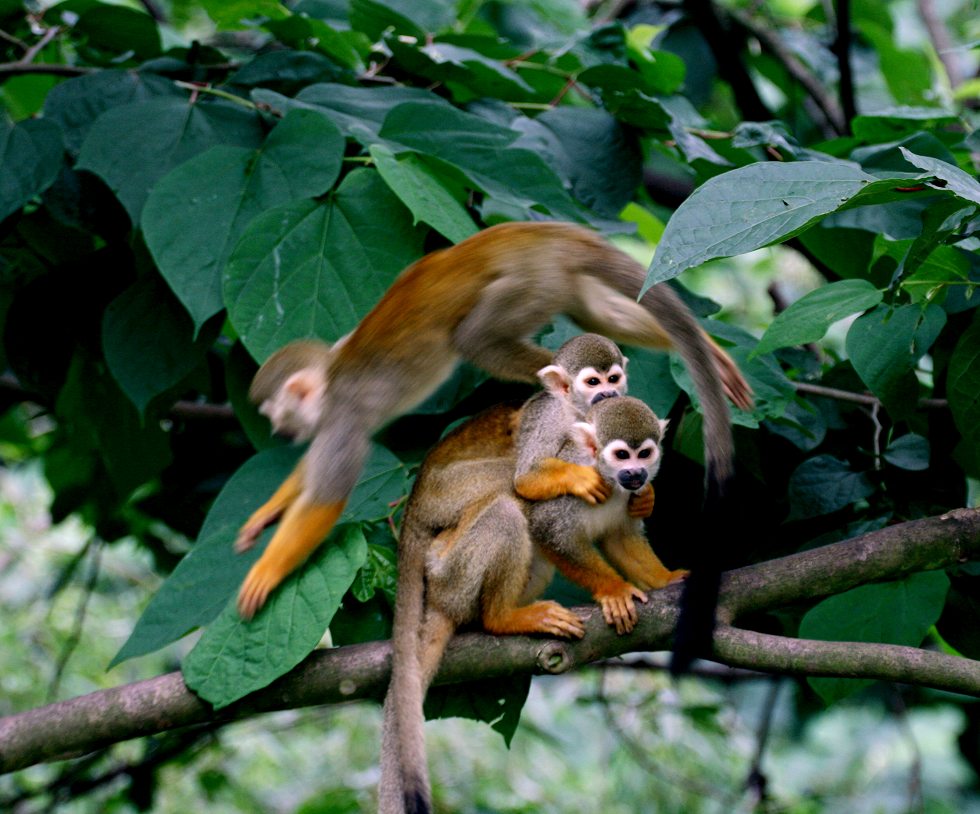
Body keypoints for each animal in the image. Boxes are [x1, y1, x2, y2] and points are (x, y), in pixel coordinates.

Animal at [524, 396, 684, 636]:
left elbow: (619, 538)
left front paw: (666, 579)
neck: (607, 478)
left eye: (644, 454)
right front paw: (615, 590)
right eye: (622, 455)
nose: (636, 472)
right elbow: (549, 530)